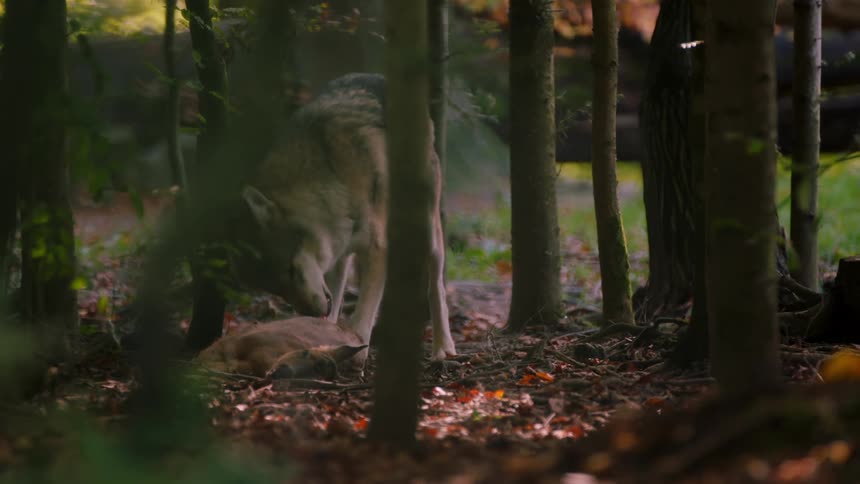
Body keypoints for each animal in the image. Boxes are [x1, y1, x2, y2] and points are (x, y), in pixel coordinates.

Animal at [231, 73, 456, 360]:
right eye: (276, 288)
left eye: (291, 270)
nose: (311, 313)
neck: (330, 180)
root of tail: (379, 76)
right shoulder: (336, 254)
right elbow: (335, 310)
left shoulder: (377, 250)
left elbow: (360, 321)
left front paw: (356, 355)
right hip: (345, 259)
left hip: (428, 232)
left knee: (436, 287)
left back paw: (443, 348)